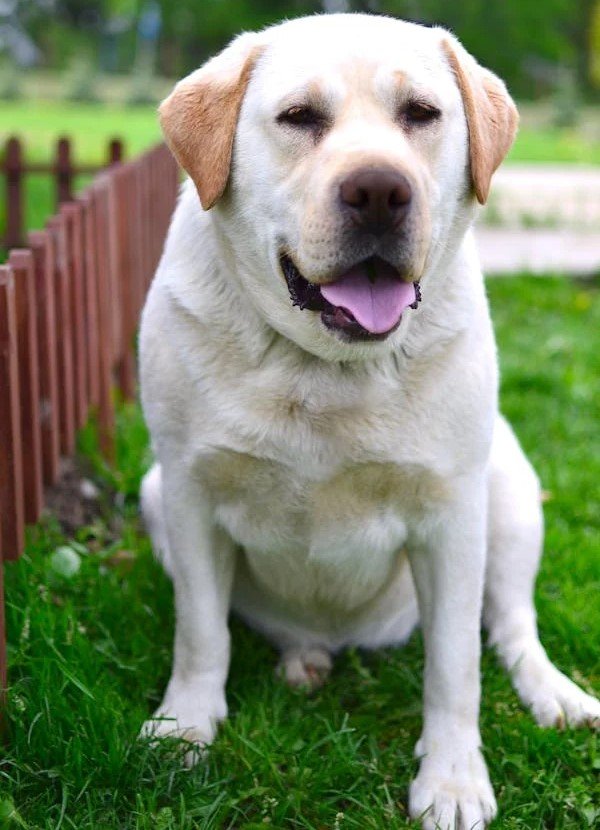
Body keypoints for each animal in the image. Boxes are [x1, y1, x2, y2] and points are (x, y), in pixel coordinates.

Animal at [137, 14, 600, 830]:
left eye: (421, 113)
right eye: (299, 117)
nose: (380, 190)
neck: (325, 367)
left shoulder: (451, 517)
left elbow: (455, 665)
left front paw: (452, 780)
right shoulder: (189, 492)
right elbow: (201, 633)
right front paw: (185, 726)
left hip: (510, 487)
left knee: (511, 626)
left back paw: (555, 694)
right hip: (152, 491)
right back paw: (303, 658)